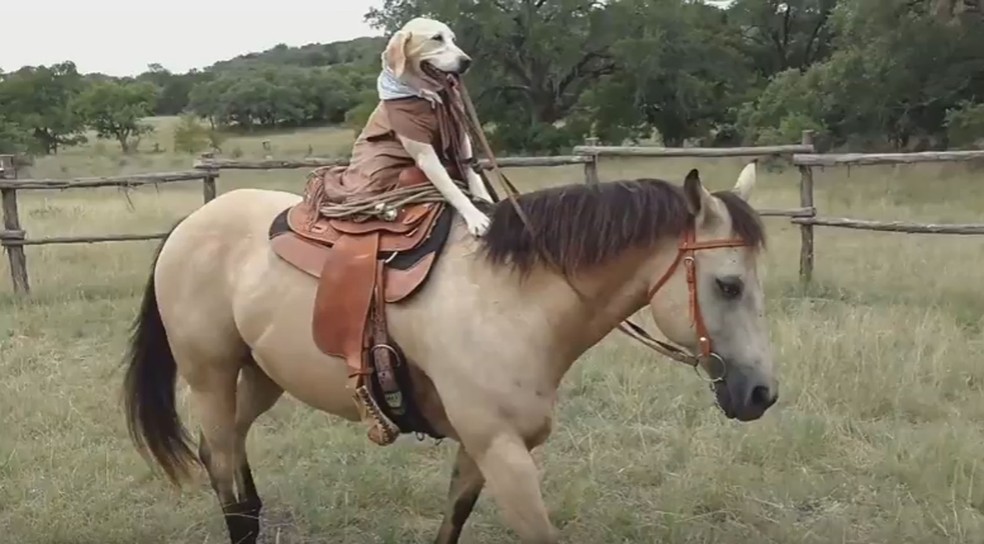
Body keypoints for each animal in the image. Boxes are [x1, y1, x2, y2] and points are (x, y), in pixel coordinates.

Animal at [121, 163, 778, 544]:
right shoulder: (501, 450)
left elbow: (452, 522)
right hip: (210, 374)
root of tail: (193, 221)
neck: (513, 301)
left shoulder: (480, 448)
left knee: (227, 456)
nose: (762, 393)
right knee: (224, 472)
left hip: (260, 376)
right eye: (727, 285)